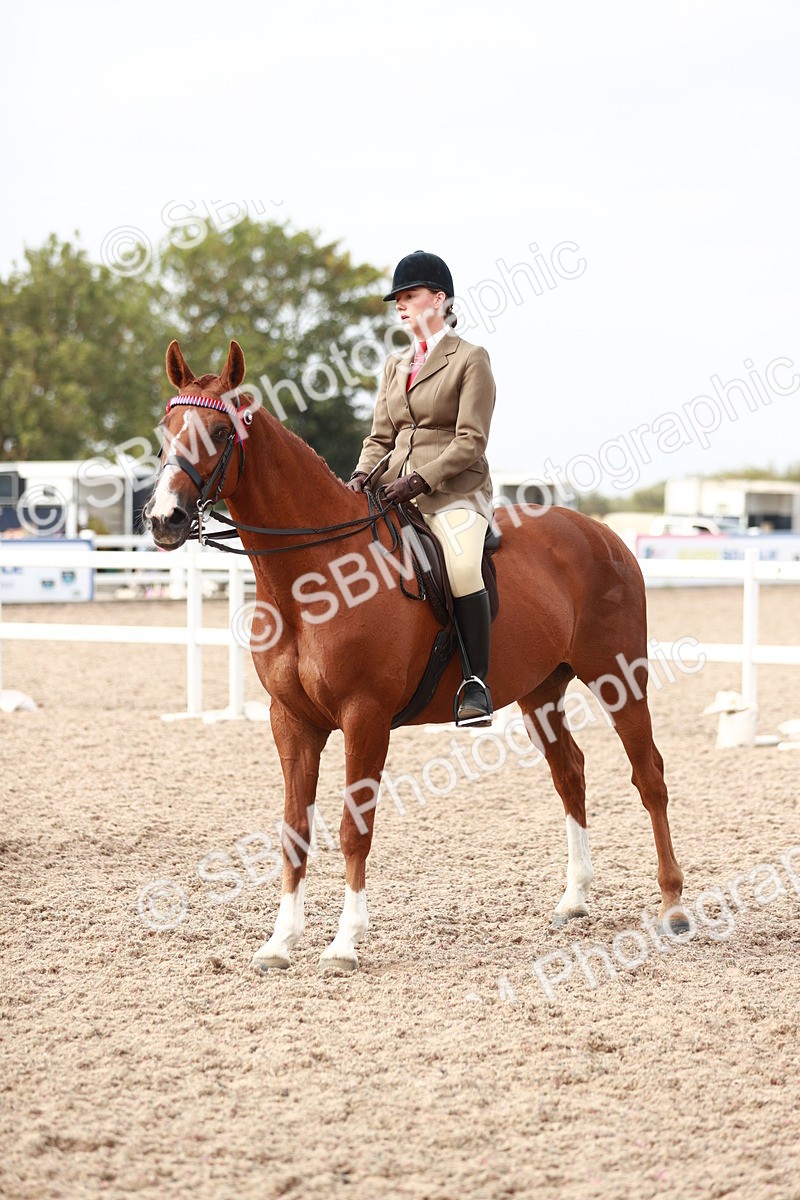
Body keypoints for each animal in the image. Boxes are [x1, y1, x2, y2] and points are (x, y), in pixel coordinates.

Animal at [143, 339, 688, 973]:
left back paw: (674, 906)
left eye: (216, 430)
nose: (163, 519)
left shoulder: (365, 717)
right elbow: (294, 829)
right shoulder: (292, 721)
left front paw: (344, 943)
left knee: (649, 776)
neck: (314, 577)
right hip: (540, 692)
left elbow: (354, 828)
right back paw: (574, 899)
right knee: (570, 774)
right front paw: (280, 942)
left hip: (618, 678)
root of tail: (603, 534)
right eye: (165, 429)